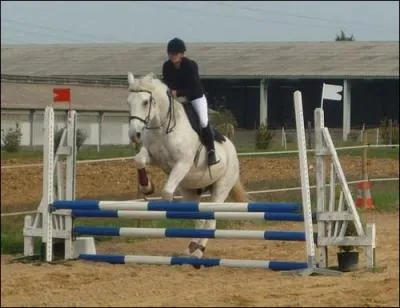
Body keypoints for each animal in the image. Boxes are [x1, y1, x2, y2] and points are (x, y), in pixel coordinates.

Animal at [126, 71, 248, 258]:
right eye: (128, 102)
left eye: (145, 102)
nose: (134, 135)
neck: (162, 128)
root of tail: (233, 151)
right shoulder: (152, 156)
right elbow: (139, 160)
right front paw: (147, 187)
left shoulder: (182, 163)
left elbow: (167, 192)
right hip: (191, 190)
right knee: (199, 219)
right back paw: (191, 248)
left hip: (221, 187)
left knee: (210, 220)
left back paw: (199, 251)